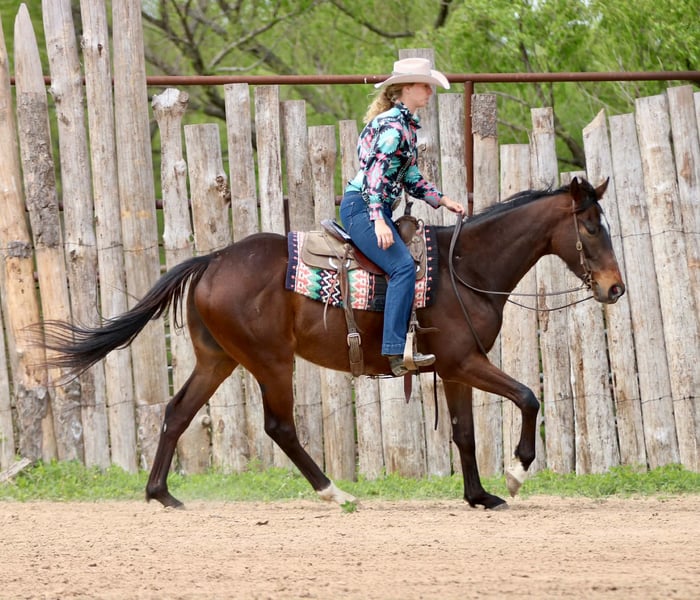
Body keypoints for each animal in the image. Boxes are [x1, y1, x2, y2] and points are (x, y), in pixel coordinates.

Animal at [38, 176, 625, 510]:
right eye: (591, 227)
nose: (615, 288)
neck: (464, 268)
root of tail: (213, 260)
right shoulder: (466, 361)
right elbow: (528, 397)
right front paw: (518, 472)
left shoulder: (453, 368)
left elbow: (463, 433)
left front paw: (480, 497)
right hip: (271, 361)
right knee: (279, 426)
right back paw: (334, 492)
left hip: (218, 360)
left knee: (177, 411)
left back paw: (161, 494)